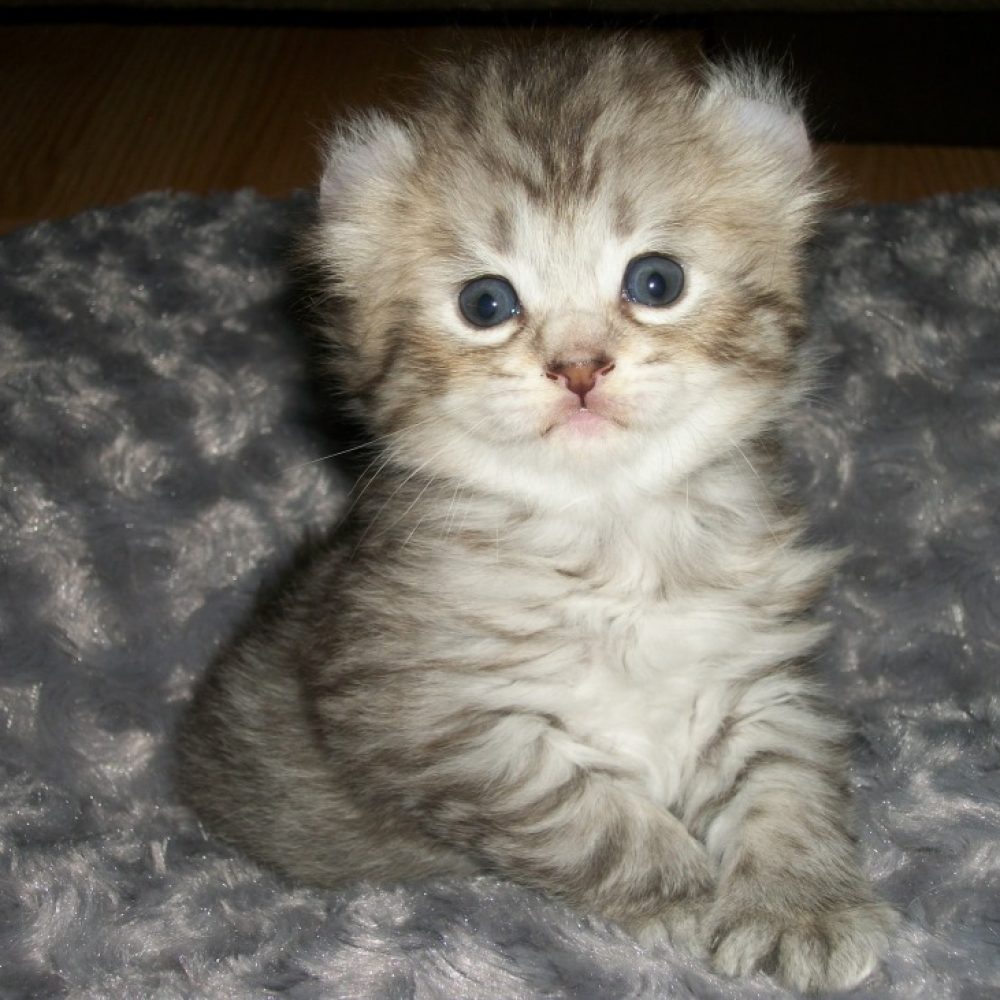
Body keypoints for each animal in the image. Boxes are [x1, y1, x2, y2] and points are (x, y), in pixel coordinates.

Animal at [178, 39, 900, 992]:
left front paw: (797, 902)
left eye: (656, 281)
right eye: (486, 303)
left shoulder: (754, 675)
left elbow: (787, 778)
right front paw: (683, 893)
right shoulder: (440, 724)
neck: (611, 537)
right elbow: (589, 815)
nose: (579, 368)